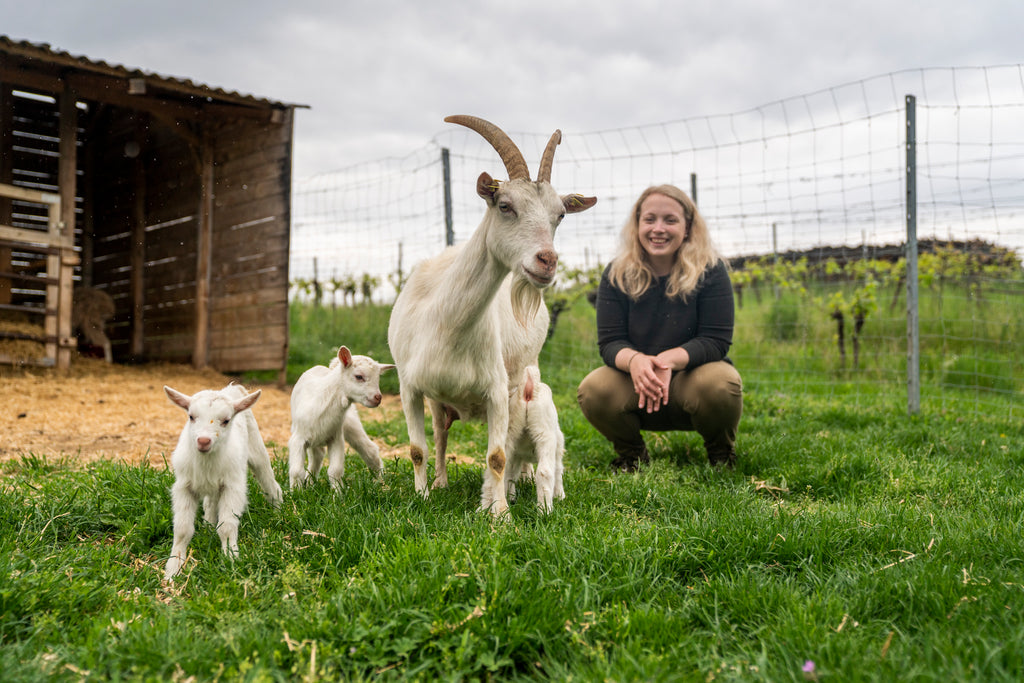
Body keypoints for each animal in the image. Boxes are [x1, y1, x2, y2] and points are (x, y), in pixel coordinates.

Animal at [387, 114, 598, 516]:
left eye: (560, 214)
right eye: (505, 205)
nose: (547, 261)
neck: (445, 325)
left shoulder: (498, 390)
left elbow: (498, 456)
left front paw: (499, 513)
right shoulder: (409, 387)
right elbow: (419, 449)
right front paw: (422, 497)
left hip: (527, 376)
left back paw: (526, 480)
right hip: (438, 400)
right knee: (440, 434)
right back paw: (441, 481)